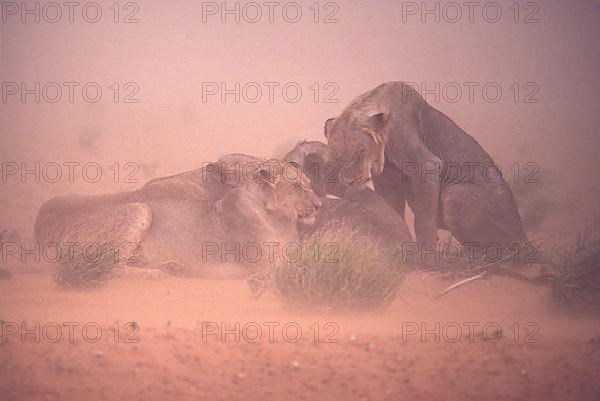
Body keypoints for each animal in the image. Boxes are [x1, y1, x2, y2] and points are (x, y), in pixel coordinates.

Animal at [35, 155, 322, 282]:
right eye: (298, 187)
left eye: (310, 184)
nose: (319, 205)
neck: (280, 220)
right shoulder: (267, 266)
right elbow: (304, 269)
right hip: (141, 208)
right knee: (108, 267)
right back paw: (156, 274)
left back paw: (171, 267)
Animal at [326, 82, 528, 260]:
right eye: (336, 155)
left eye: (360, 152)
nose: (349, 181)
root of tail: (523, 235)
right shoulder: (385, 182)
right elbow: (391, 213)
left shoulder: (426, 165)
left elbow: (423, 220)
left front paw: (425, 254)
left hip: (454, 195)